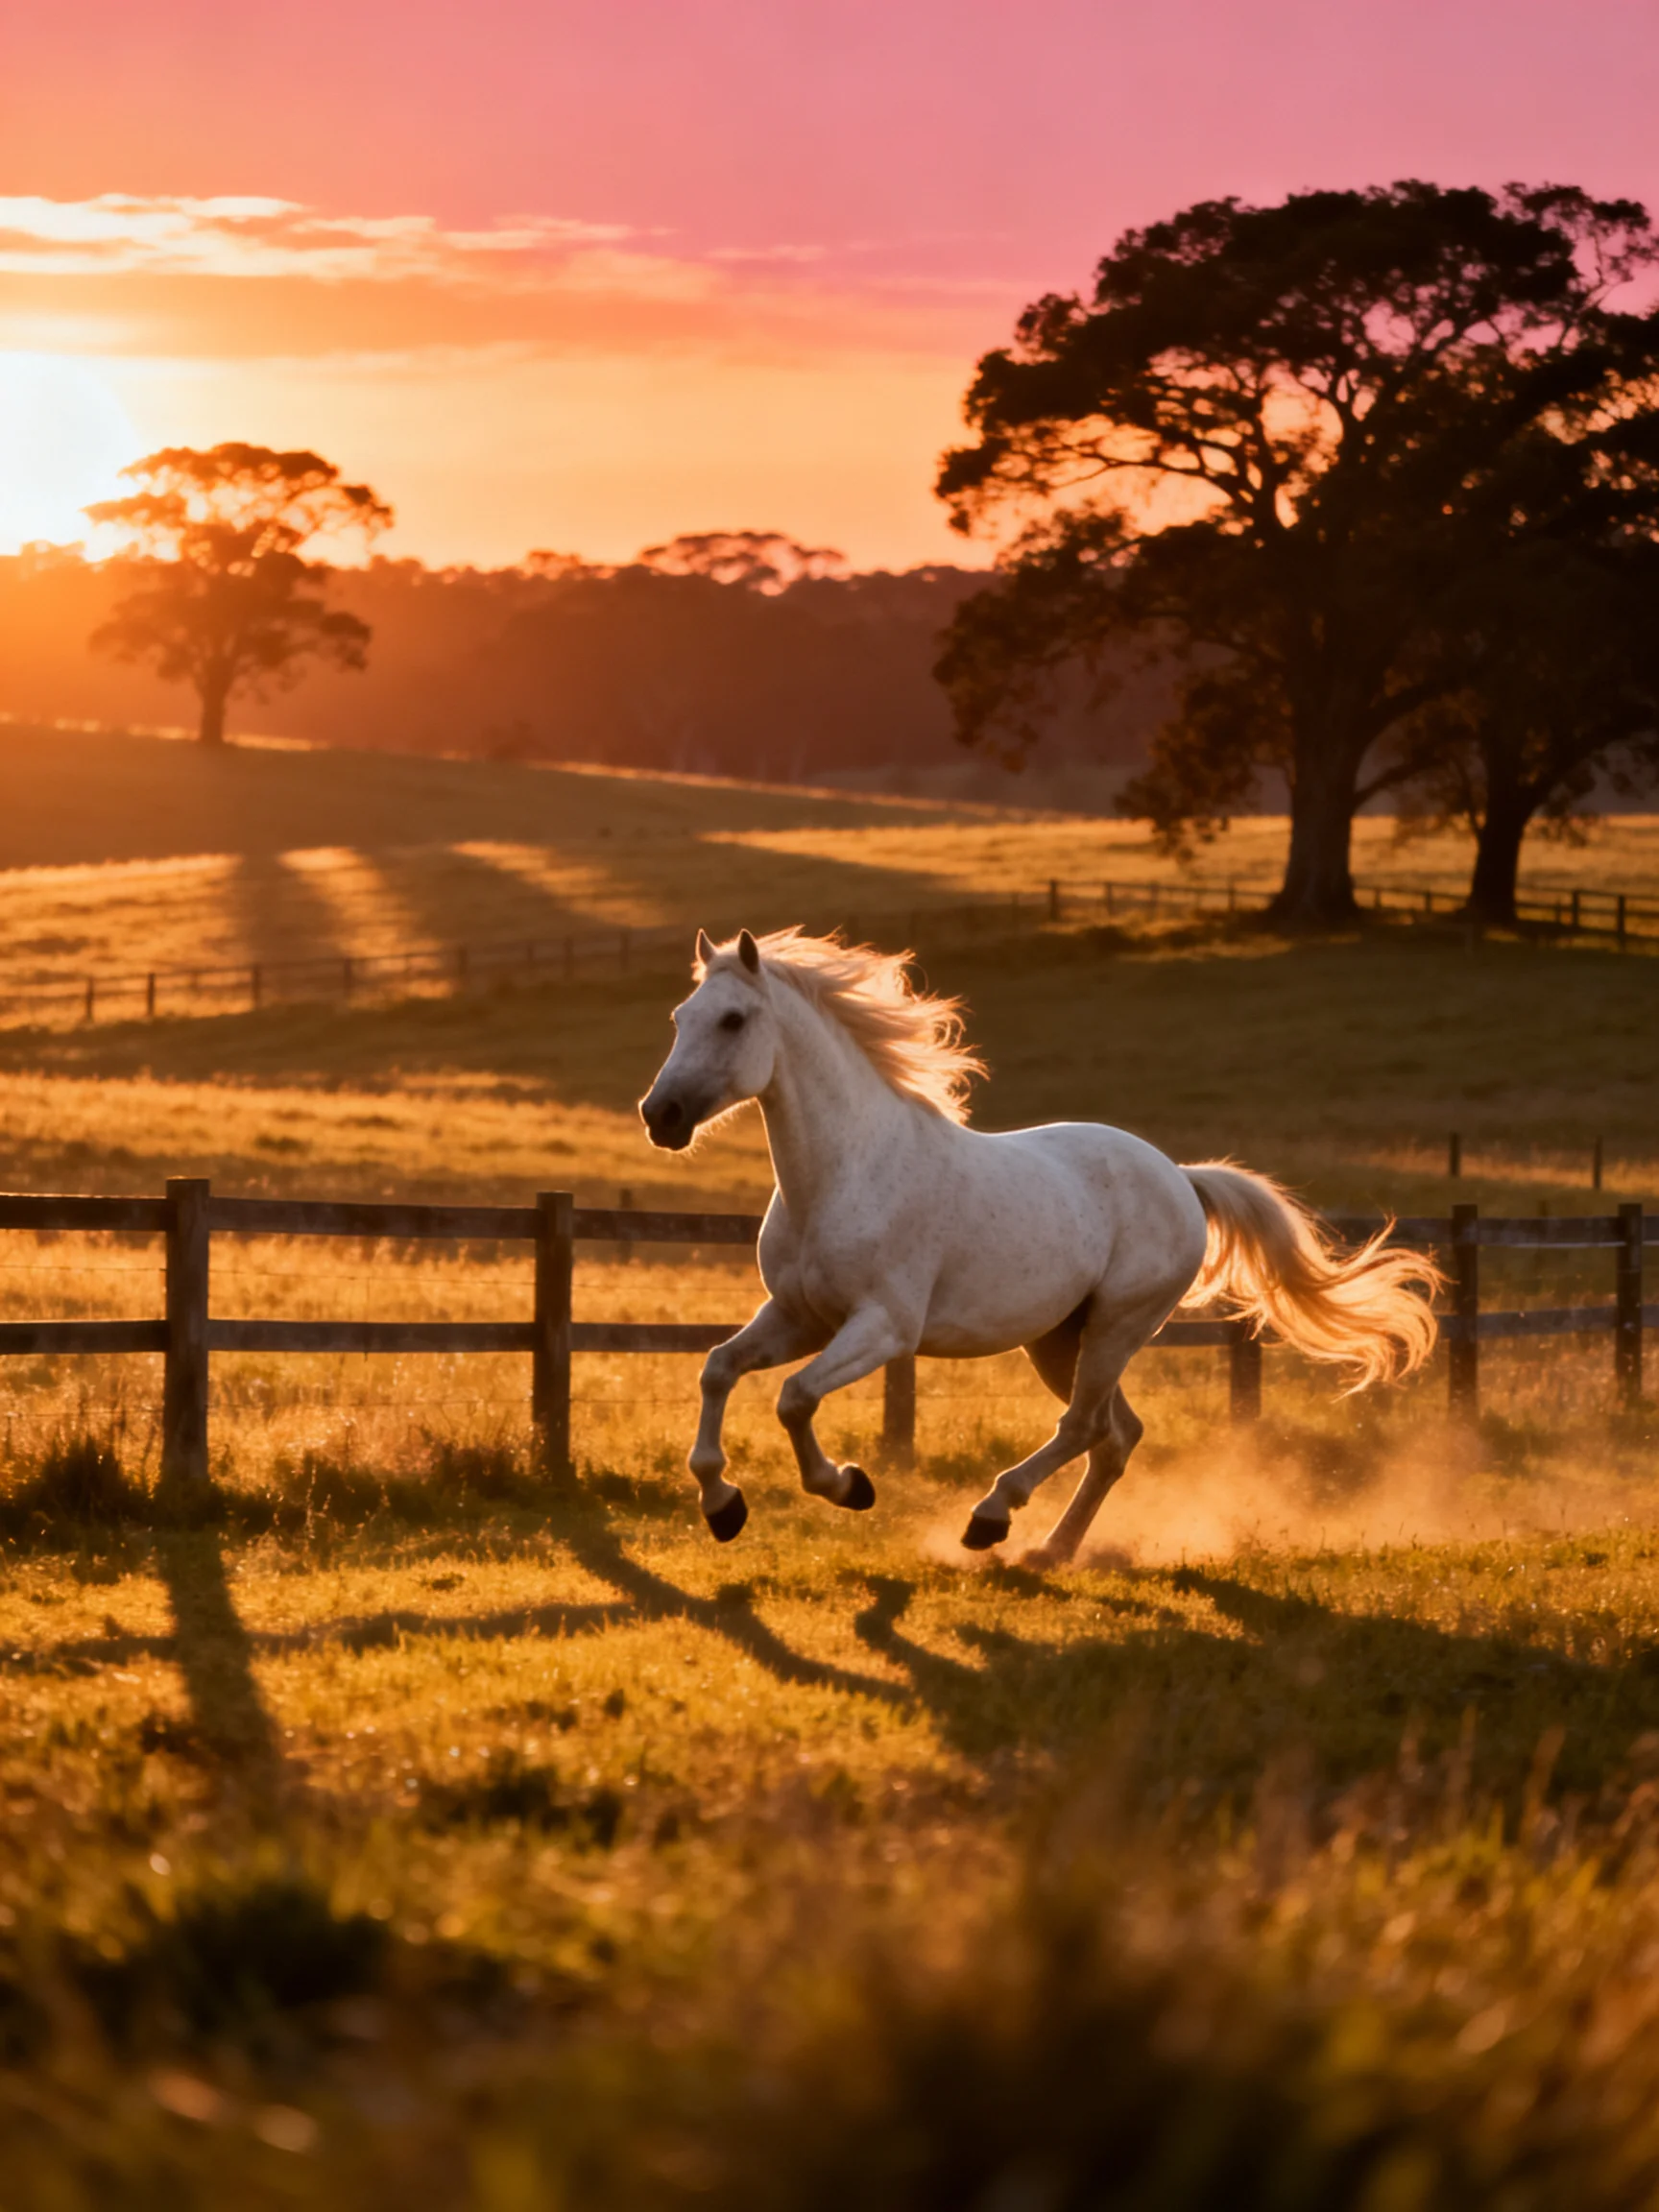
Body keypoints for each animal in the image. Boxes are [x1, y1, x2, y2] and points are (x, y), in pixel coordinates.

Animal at [639, 926, 1439, 1564]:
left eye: (734, 1019)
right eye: (679, 1017)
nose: (660, 1115)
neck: (845, 1172)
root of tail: (1181, 1178)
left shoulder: (883, 1329)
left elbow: (795, 1397)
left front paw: (848, 1486)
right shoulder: (800, 1317)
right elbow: (718, 1369)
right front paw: (723, 1506)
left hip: (1116, 1326)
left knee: (1084, 1425)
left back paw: (991, 1519)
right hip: (1059, 1339)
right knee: (1116, 1436)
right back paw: (1051, 1550)